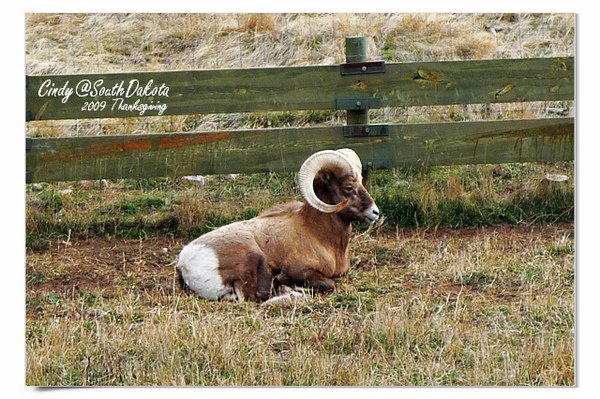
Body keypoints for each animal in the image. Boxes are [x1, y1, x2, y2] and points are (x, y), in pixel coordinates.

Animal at [176, 148, 380, 302]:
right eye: (349, 188)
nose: (375, 212)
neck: (319, 236)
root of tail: (184, 264)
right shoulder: (302, 271)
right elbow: (330, 285)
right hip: (253, 258)